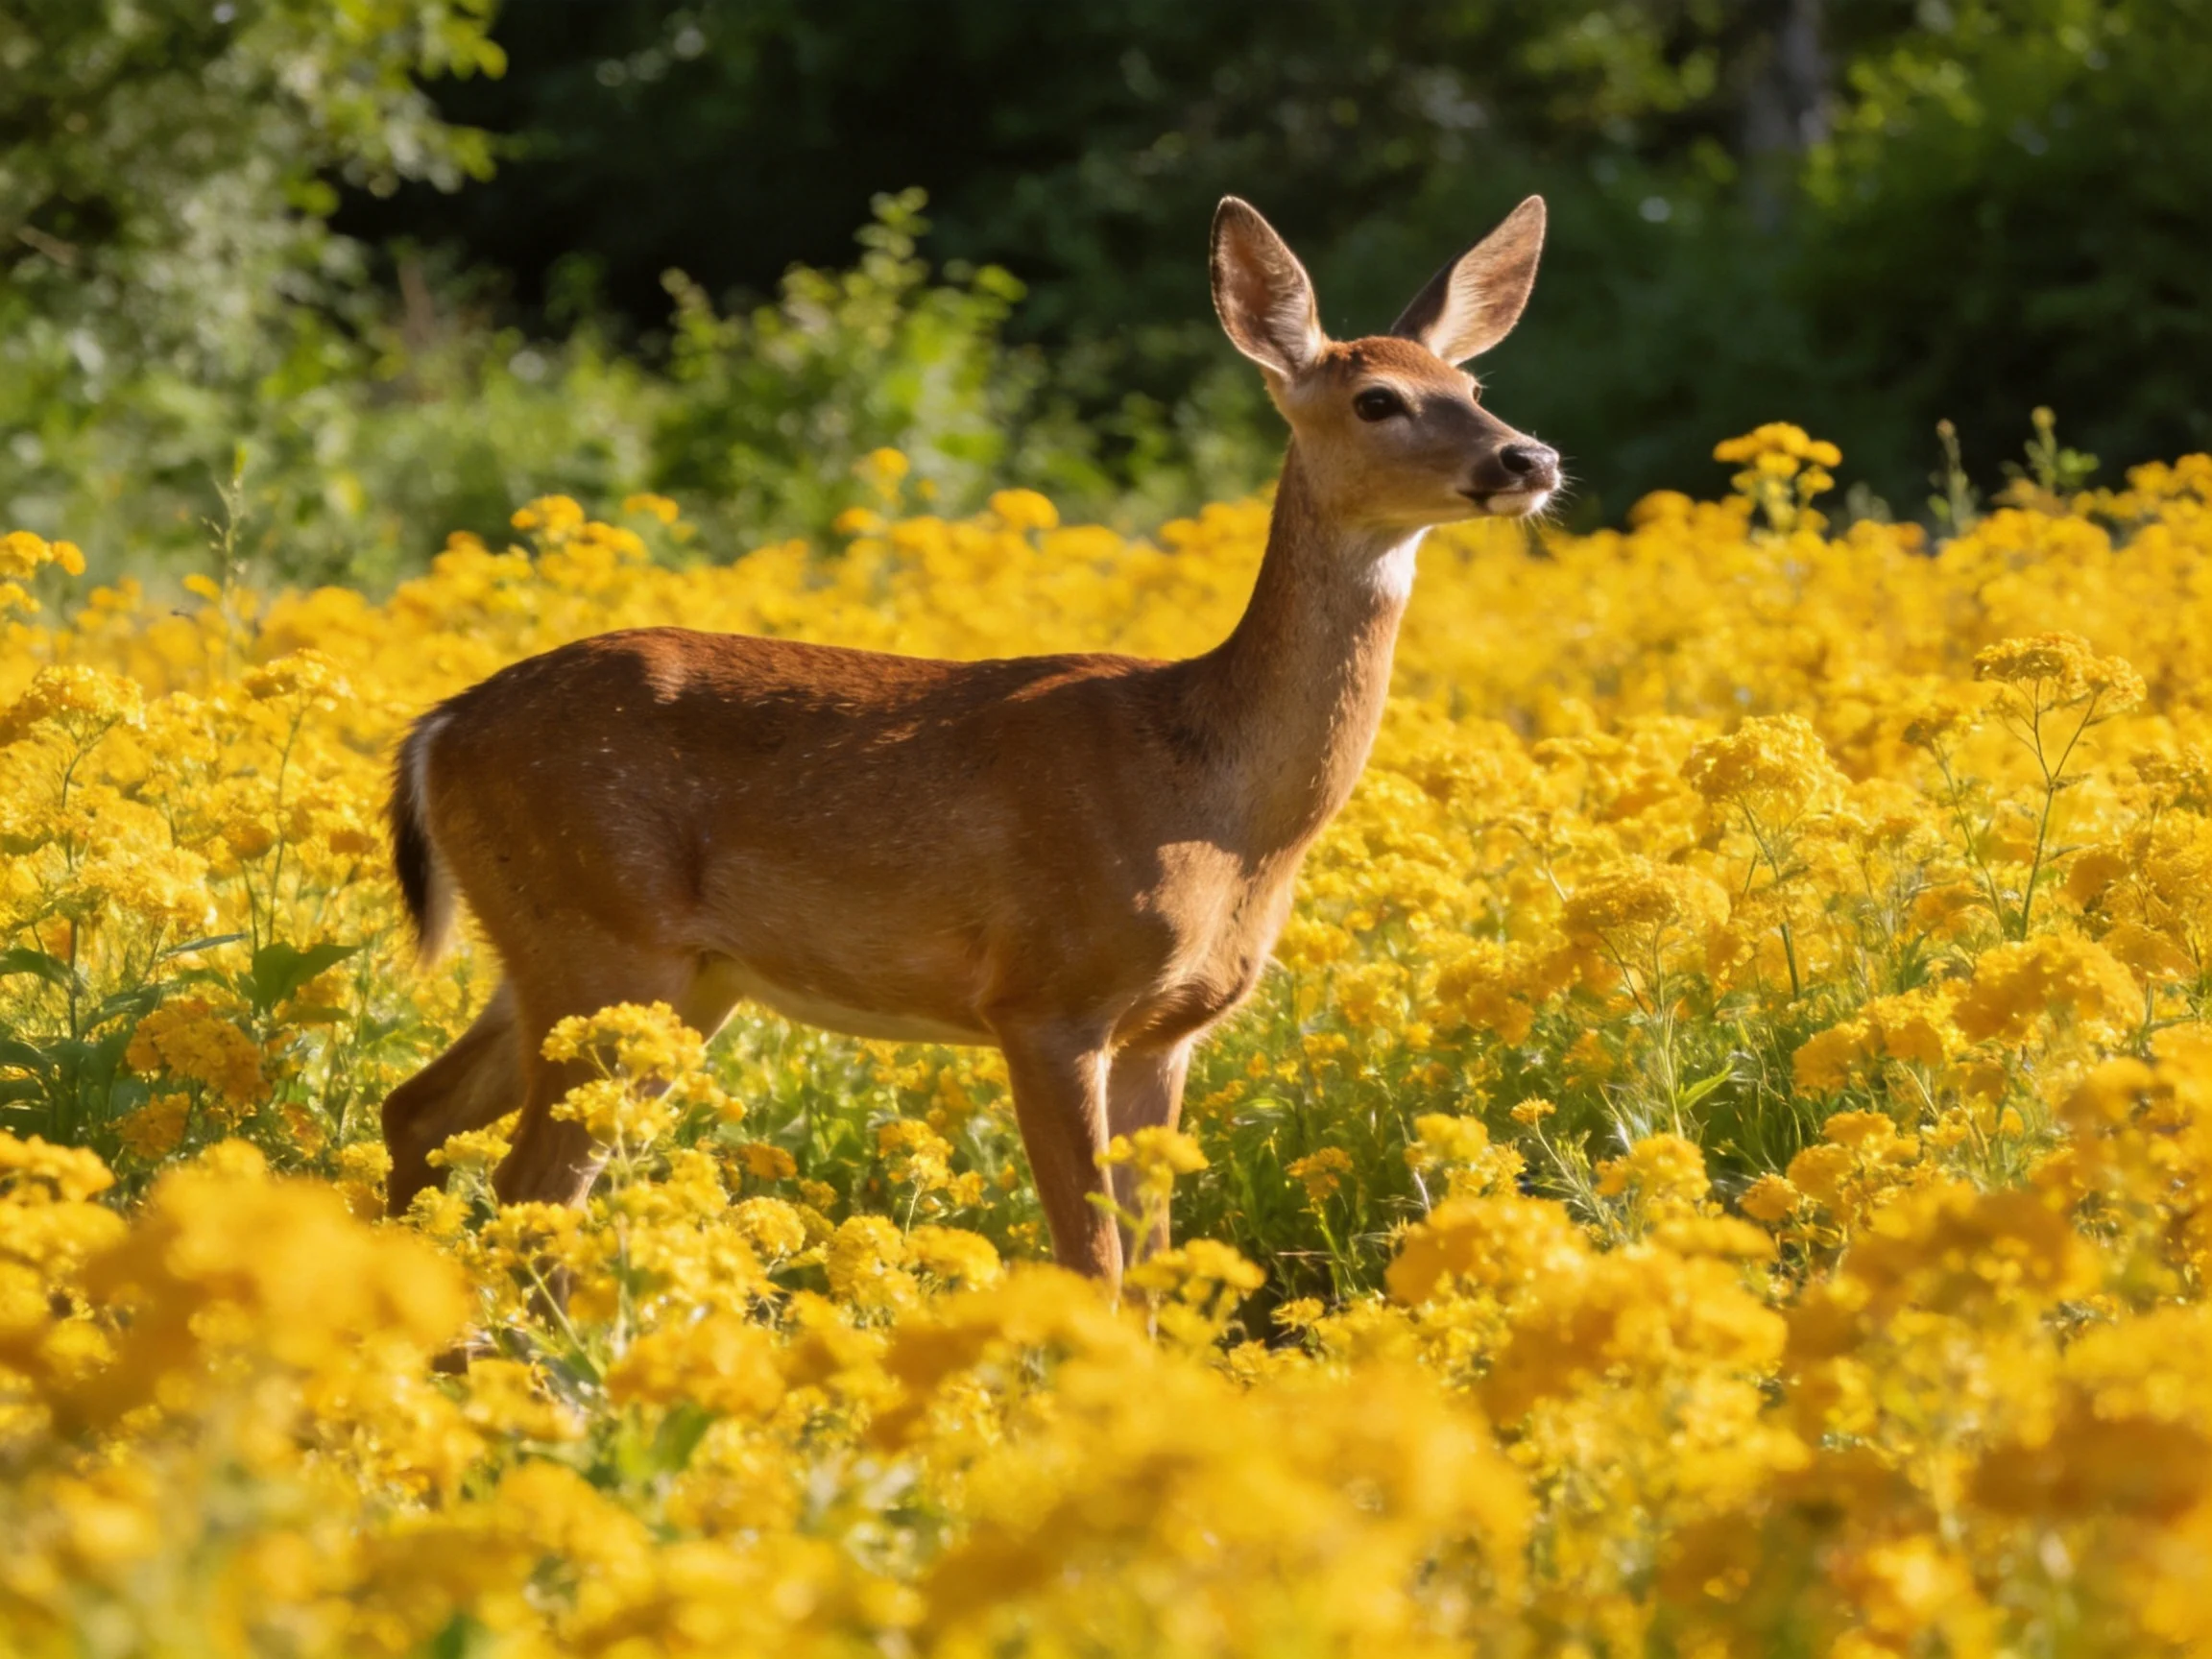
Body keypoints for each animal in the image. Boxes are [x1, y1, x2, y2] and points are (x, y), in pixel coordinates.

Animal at [380, 194, 1560, 1292]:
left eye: (1474, 388)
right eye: (1379, 399)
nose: (1531, 455)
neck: (1215, 802)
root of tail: (438, 728)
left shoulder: (1168, 1030)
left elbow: (1150, 1260)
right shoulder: (1045, 997)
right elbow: (1092, 1260)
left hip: (622, 964)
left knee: (420, 1112)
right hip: (606, 940)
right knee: (532, 1181)